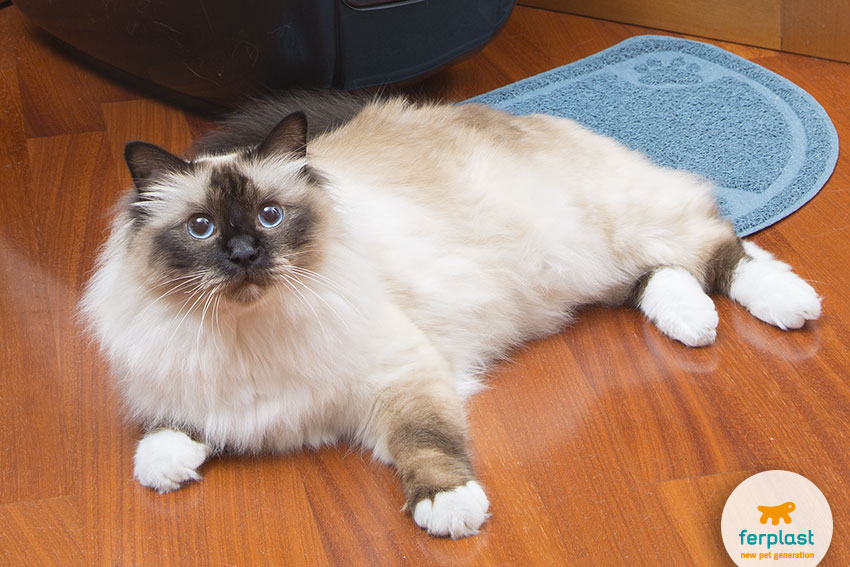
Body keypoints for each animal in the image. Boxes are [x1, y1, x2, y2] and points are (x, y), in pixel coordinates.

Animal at [78, 91, 816, 540]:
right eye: (201, 228)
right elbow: (165, 435)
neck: (247, 331)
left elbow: (427, 444)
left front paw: (449, 508)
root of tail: (495, 111)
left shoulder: (400, 375)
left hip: (622, 228)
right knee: (659, 278)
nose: (243, 255)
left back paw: (788, 305)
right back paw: (693, 324)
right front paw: (168, 465)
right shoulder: (185, 385)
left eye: (270, 216)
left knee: (721, 250)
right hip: (592, 269)